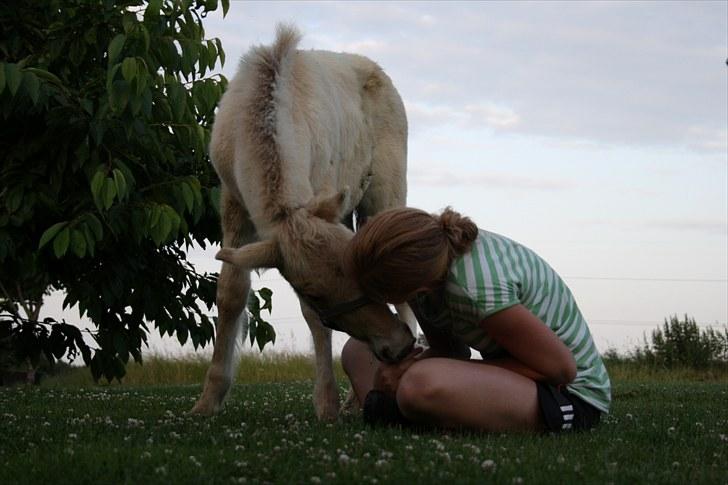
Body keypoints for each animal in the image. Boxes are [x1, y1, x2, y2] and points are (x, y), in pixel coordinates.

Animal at [191, 25, 416, 420]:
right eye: (315, 291)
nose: (398, 345)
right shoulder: (232, 201)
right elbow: (231, 293)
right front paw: (209, 399)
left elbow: (312, 320)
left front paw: (326, 404)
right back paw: (356, 399)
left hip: (385, 195)